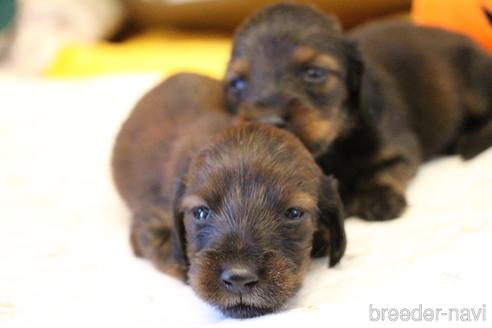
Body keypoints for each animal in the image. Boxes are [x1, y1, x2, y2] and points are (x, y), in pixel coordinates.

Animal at [224, 3, 492, 220]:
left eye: (314, 72)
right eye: (237, 84)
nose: (267, 121)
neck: (337, 145)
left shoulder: (402, 147)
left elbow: (383, 169)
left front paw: (378, 195)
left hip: (476, 83)